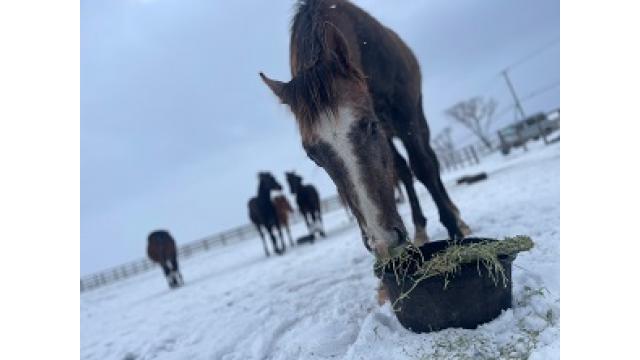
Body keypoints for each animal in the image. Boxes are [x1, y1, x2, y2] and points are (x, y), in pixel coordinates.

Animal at [258, 0, 470, 258]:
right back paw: (419, 228)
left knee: (430, 160)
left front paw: (454, 231)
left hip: (417, 120)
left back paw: (457, 217)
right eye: (312, 155)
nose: (383, 243)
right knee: (402, 171)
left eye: (370, 125)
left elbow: (423, 167)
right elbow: (402, 171)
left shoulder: (404, 116)